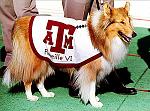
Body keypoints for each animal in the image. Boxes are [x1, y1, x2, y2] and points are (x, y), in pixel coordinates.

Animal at [2, 1, 136, 107]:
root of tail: (21, 20)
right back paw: (31, 97)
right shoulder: (90, 69)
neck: (100, 35)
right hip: (35, 61)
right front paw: (94, 102)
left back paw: (46, 94)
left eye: (129, 21)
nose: (134, 34)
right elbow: (91, 88)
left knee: (39, 80)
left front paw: (93, 99)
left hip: (45, 60)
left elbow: (92, 87)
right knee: (27, 79)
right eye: (121, 22)